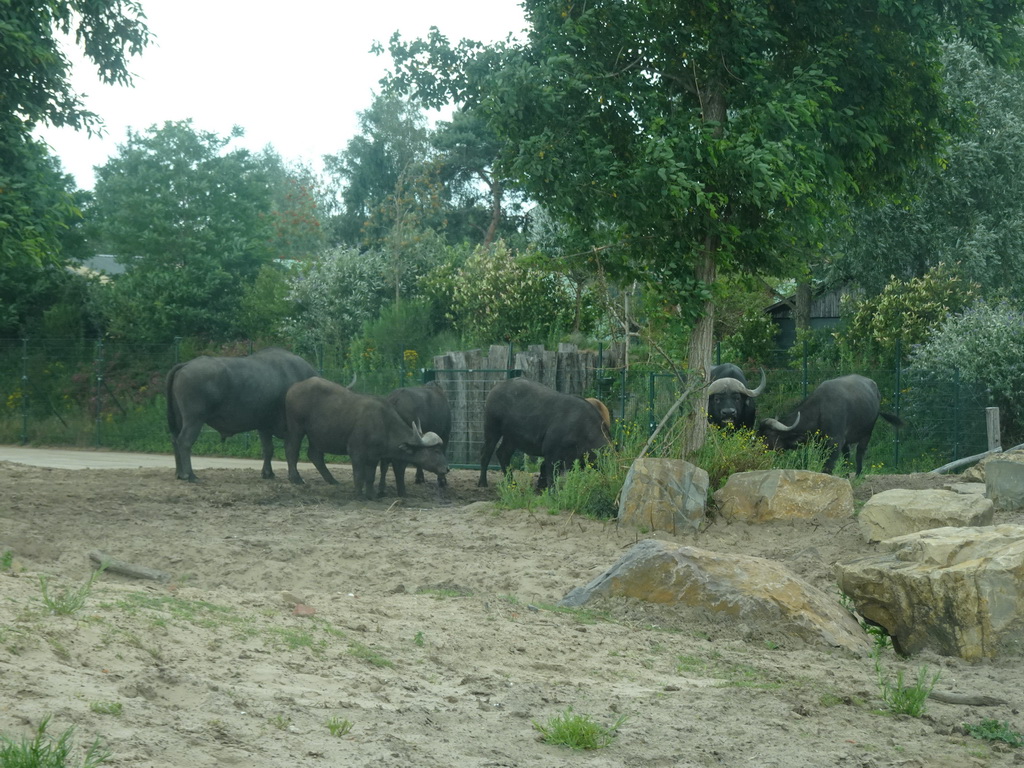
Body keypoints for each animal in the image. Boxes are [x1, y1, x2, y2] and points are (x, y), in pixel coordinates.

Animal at [165, 348, 315, 481]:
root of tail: (185, 365)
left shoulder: (264, 426)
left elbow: (268, 449)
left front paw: (268, 473)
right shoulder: (291, 429)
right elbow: (291, 451)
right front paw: (295, 477)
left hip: (179, 420)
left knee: (174, 440)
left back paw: (180, 473)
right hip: (194, 420)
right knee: (184, 441)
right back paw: (190, 475)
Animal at [286, 376, 450, 499]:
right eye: (436, 451)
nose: (447, 468)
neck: (384, 423)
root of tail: (294, 387)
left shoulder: (374, 456)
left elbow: (370, 477)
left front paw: (371, 495)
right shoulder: (356, 453)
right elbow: (359, 475)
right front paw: (359, 495)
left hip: (316, 435)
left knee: (314, 455)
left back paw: (333, 481)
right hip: (296, 427)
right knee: (292, 450)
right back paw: (296, 479)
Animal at [477, 378, 610, 493]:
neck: (583, 430)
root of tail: (497, 387)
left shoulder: (571, 459)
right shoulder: (551, 453)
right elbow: (550, 474)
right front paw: (552, 492)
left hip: (512, 438)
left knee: (503, 454)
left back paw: (513, 484)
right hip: (492, 428)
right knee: (486, 453)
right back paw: (482, 483)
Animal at [757, 374, 901, 475]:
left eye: (767, 436)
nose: (756, 452)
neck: (820, 410)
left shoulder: (834, 442)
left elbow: (828, 466)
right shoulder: (823, 444)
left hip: (867, 433)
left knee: (859, 453)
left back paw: (858, 475)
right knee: (847, 455)